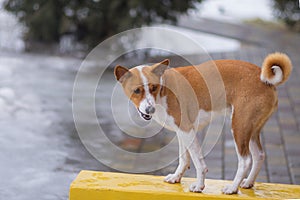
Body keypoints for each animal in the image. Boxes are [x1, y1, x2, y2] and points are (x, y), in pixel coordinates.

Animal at [113, 52, 292, 195]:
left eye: (153, 87)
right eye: (137, 90)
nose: (150, 109)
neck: (165, 89)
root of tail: (265, 80)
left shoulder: (187, 130)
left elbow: (198, 163)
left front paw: (199, 186)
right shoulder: (181, 132)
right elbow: (184, 159)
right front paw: (176, 178)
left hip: (239, 127)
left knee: (246, 160)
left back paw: (232, 188)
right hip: (251, 130)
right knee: (259, 155)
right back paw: (248, 182)